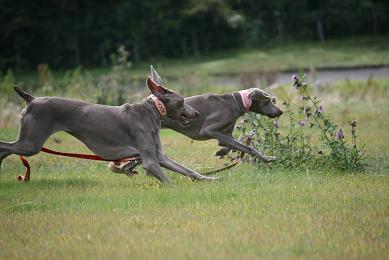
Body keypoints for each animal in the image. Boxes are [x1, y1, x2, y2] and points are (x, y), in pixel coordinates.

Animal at [0, 67, 217, 183]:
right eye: (182, 101)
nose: (197, 113)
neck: (151, 111)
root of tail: (31, 99)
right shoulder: (149, 159)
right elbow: (166, 178)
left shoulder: (159, 155)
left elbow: (187, 170)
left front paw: (211, 180)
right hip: (30, 143)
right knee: (5, 146)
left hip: (29, 141)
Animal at [109, 66, 282, 174]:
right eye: (267, 101)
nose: (281, 111)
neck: (235, 102)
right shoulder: (209, 130)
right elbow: (246, 147)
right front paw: (267, 158)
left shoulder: (225, 135)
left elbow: (236, 142)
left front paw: (221, 151)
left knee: (135, 160)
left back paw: (125, 169)